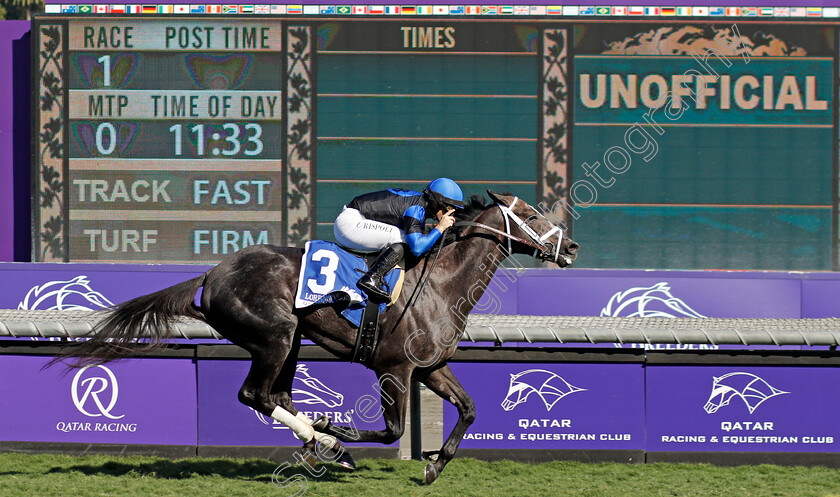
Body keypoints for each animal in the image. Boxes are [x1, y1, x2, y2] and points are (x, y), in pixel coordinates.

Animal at [52, 191, 576, 484]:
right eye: (531, 213)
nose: (570, 246)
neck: (440, 286)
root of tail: (212, 273)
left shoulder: (430, 366)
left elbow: (468, 409)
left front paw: (432, 466)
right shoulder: (395, 368)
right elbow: (393, 431)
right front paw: (338, 430)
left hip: (291, 340)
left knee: (276, 395)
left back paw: (320, 446)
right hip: (276, 333)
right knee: (256, 394)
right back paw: (327, 442)